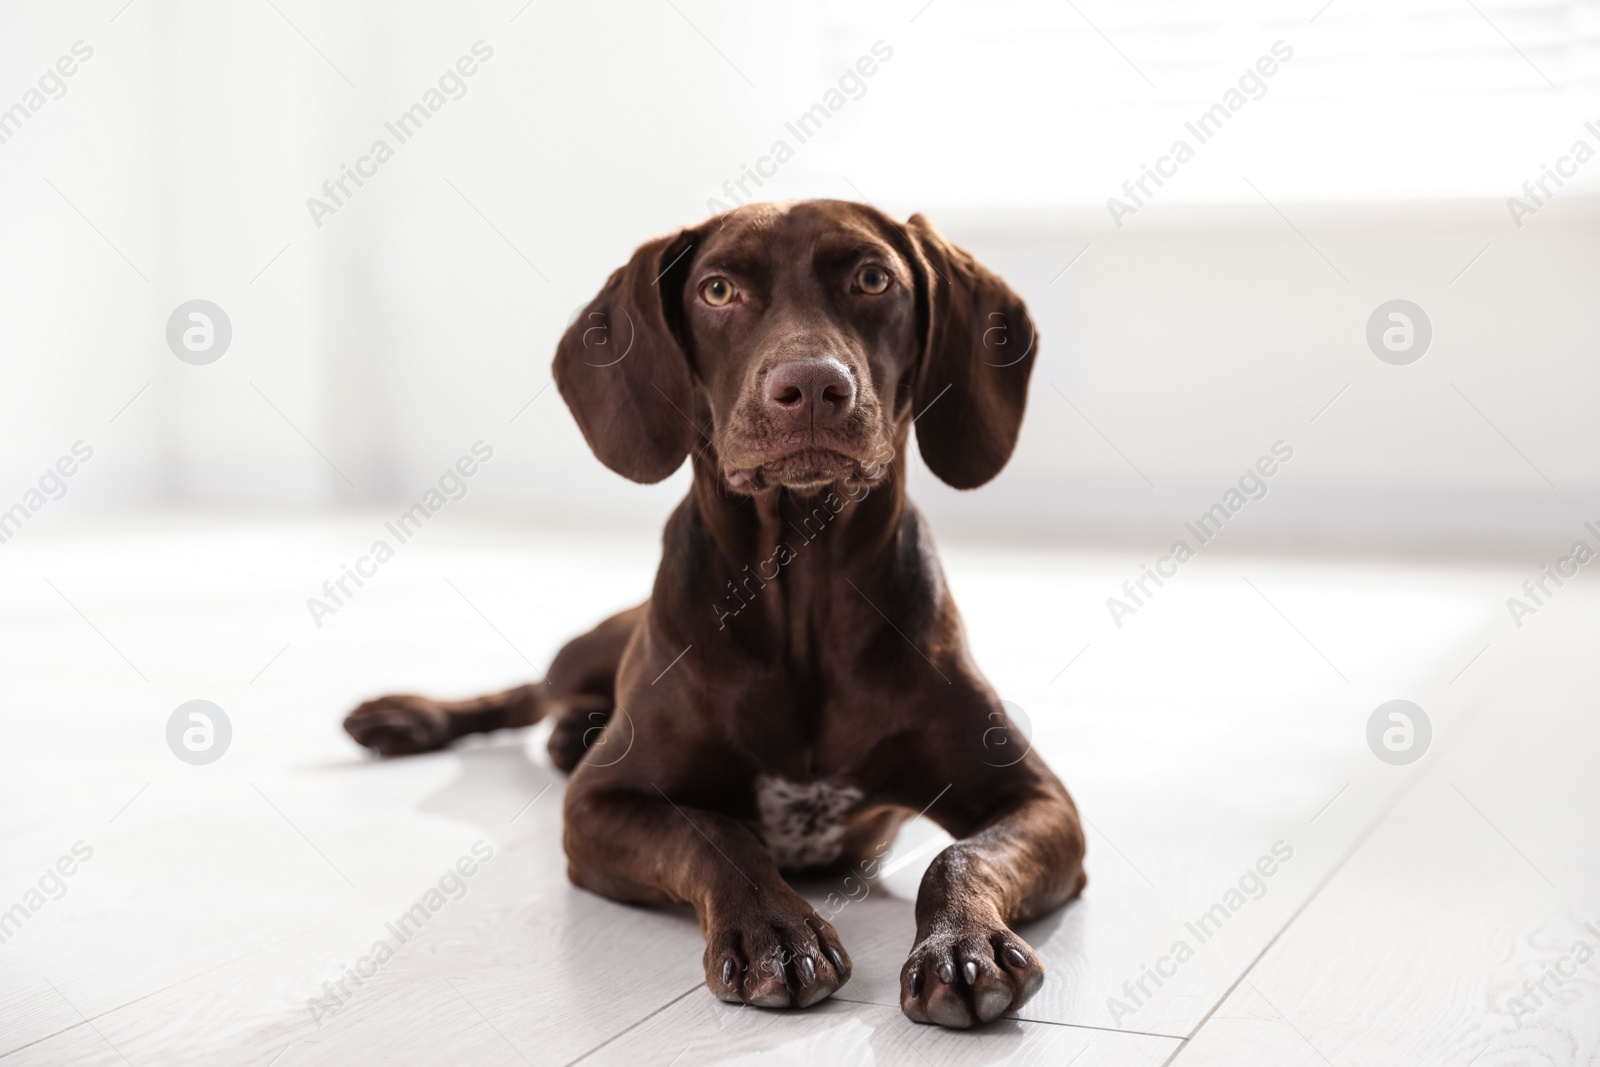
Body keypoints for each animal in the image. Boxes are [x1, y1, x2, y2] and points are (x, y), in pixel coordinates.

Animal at [340, 198, 1088, 1023]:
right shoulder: (601, 801)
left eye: (872, 278)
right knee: (526, 693)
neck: (803, 596)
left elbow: (960, 854)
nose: (812, 386)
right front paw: (774, 931)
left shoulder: (1034, 799)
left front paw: (961, 943)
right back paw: (410, 716)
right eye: (719, 291)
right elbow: (717, 834)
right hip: (589, 649)